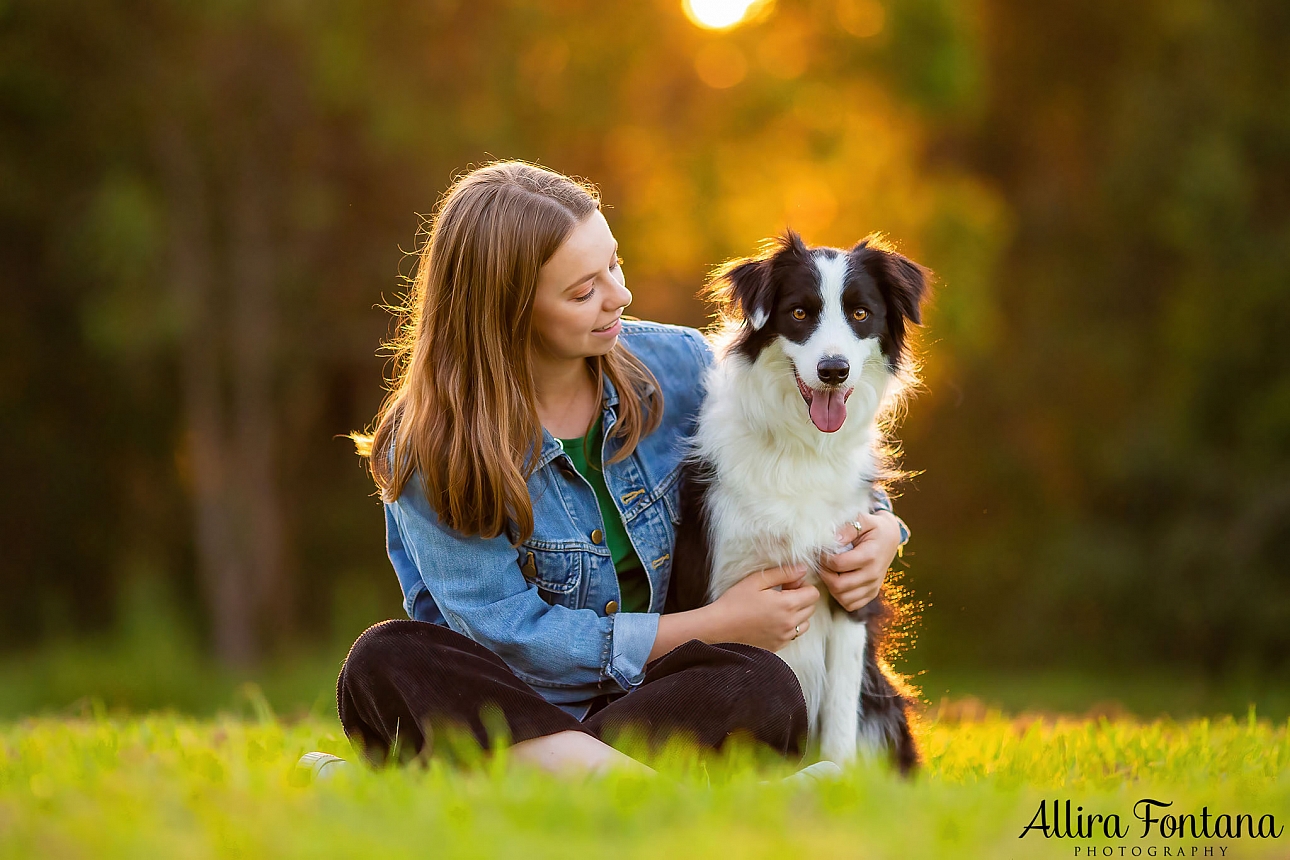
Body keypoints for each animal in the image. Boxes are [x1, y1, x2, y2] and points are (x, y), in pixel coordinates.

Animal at [665, 228, 928, 773]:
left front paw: (838, 778)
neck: (801, 448)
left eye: (861, 313)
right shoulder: (723, 585)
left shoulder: (850, 587)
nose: (833, 370)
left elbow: (839, 722)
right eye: (800, 313)